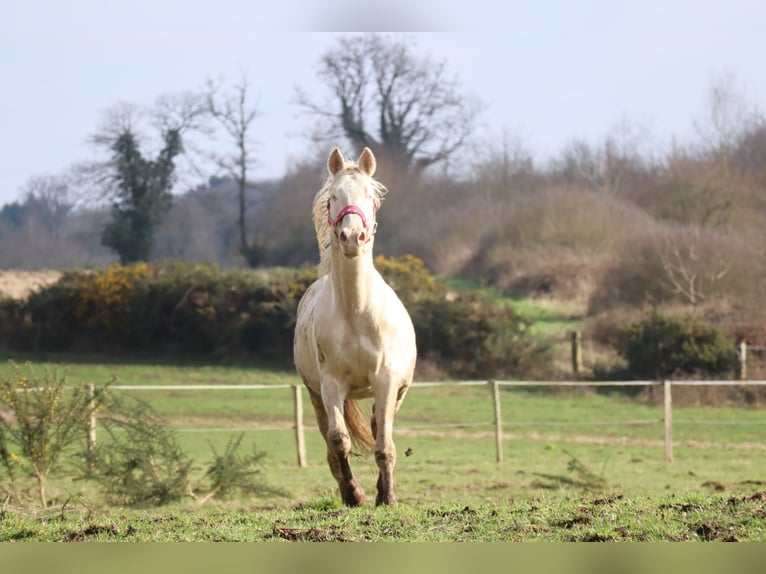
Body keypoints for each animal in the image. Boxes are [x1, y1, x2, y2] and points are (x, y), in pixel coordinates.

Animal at [294, 147, 416, 508]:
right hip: (314, 395)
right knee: (331, 440)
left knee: (378, 426)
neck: (356, 312)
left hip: (396, 391)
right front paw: (354, 494)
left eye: (371, 199)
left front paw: (387, 498)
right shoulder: (331, 385)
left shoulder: (387, 381)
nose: (352, 238)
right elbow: (339, 440)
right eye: (333, 198)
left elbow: (384, 445)